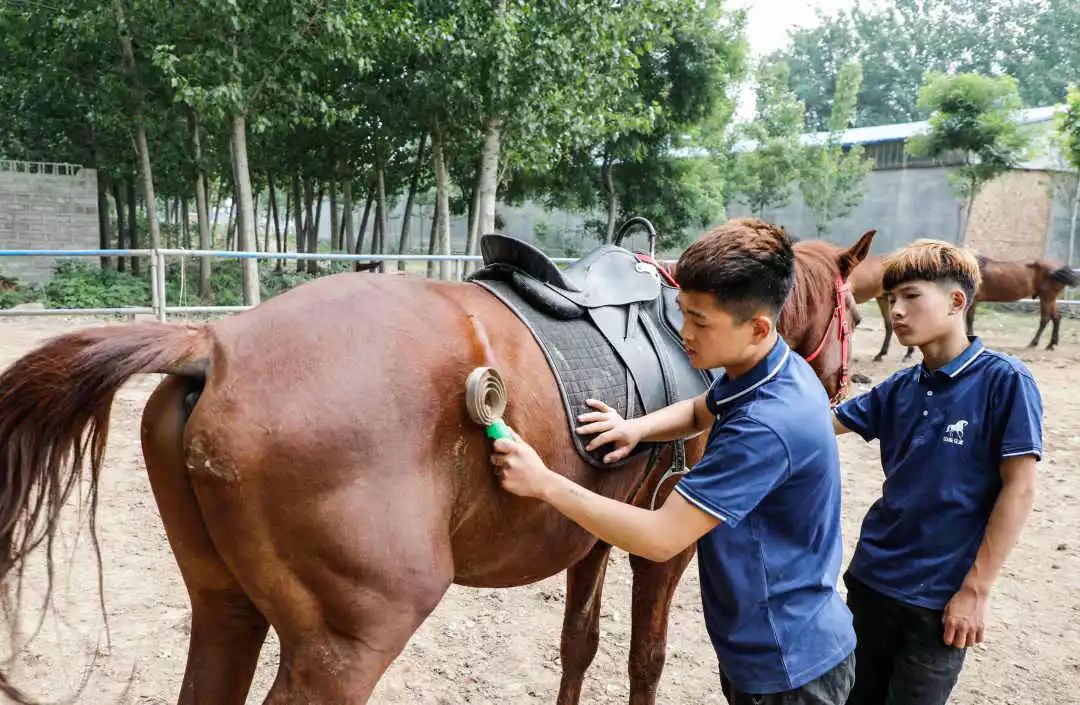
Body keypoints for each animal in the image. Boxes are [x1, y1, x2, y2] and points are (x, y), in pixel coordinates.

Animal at [0, 225, 872, 703]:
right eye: (854, 313)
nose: (840, 394)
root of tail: (212, 344)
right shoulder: (665, 549)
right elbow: (644, 661)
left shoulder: (593, 536)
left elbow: (579, 644)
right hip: (346, 644)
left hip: (224, 609)